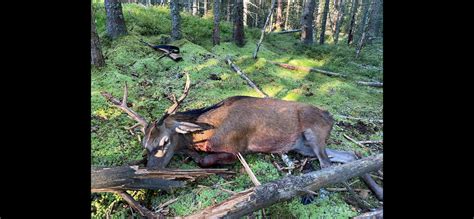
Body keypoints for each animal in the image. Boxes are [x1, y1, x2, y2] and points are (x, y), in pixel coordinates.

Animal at [100, 72, 382, 201]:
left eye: (165, 142)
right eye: (144, 144)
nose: (150, 172)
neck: (205, 133)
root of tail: (330, 116)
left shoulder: (237, 149)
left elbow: (207, 160)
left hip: (313, 133)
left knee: (325, 165)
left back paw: (315, 193)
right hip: (303, 146)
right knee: (350, 154)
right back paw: (376, 191)